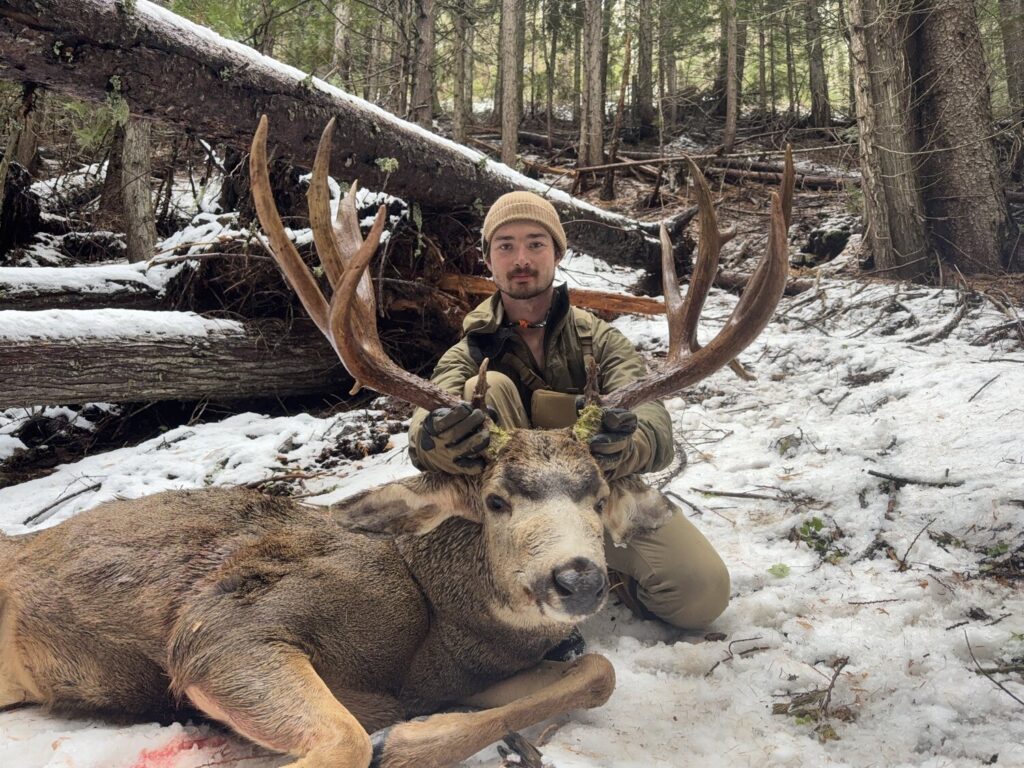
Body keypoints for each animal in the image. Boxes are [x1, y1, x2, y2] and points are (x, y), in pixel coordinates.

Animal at [0, 116, 793, 768]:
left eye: (598, 497)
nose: (577, 579)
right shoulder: (220, 624)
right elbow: (347, 739)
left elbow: (599, 672)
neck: (431, 626)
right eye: (496, 500)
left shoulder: (466, 671)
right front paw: (393, 740)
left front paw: (420, 734)